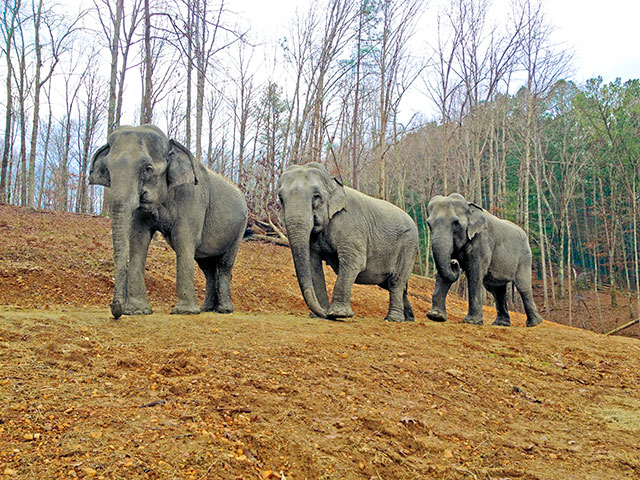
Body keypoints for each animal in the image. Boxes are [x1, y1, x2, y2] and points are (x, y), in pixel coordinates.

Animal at [89, 124, 248, 319]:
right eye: (107, 169)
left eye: (147, 168)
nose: (114, 309)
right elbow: (138, 240)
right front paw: (137, 311)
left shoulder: (191, 198)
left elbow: (183, 240)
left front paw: (184, 312)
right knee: (206, 266)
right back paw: (206, 309)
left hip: (239, 229)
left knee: (224, 265)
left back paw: (223, 310)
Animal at [277, 162, 419, 322]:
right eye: (280, 198)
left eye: (317, 196)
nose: (325, 313)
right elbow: (313, 264)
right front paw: (320, 315)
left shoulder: (351, 227)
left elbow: (353, 262)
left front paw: (337, 314)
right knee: (392, 285)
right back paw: (409, 318)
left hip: (408, 246)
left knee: (395, 281)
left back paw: (393, 319)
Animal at [425, 193, 543, 328]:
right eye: (429, 224)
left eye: (456, 223)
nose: (454, 263)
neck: (469, 206)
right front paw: (435, 316)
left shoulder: (482, 241)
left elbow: (475, 273)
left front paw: (471, 322)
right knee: (497, 290)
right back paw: (500, 324)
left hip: (524, 258)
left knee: (523, 286)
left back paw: (534, 324)